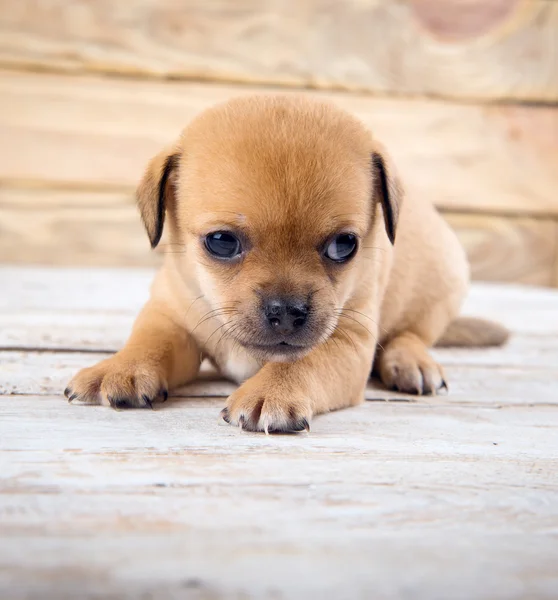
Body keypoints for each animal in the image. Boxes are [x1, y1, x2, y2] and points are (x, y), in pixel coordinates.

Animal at [63, 95, 510, 432]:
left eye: (344, 245)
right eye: (221, 242)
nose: (287, 311)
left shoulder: (348, 342)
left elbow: (303, 360)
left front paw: (273, 390)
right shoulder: (170, 312)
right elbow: (150, 341)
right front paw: (121, 367)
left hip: (442, 288)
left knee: (415, 333)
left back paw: (412, 362)